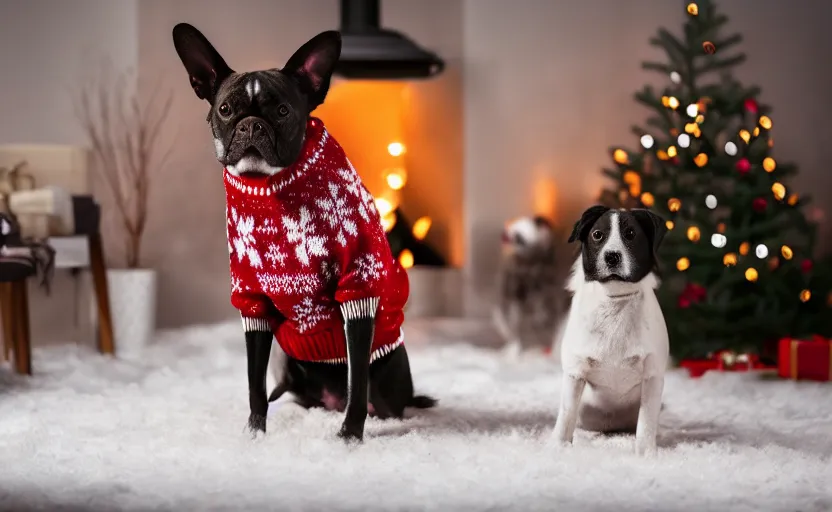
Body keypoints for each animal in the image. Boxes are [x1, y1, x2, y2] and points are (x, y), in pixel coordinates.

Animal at [552, 207, 668, 456]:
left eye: (631, 233)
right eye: (597, 235)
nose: (612, 256)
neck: (614, 300)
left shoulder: (652, 376)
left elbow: (646, 424)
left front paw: (646, 454)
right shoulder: (575, 374)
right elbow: (566, 416)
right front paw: (557, 446)